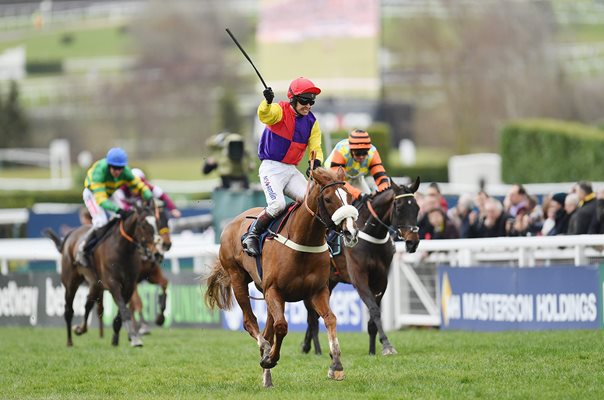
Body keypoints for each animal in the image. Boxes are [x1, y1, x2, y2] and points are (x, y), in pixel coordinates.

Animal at [45, 203, 160, 346]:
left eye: (157, 223)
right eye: (143, 224)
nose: (156, 253)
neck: (122, 250)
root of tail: (70, 235)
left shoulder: (129, 286)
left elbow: (120, 313)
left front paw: (116, 338)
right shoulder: (113, 283)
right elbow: (124, 310)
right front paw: (134, 338)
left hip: (95, 284)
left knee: (88, 304)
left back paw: (80, 329)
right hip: (71, 282)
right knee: (68, 310)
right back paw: (69, 341)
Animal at [205, 168, 360, 388]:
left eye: (349, 197)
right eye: (328, 199)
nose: (351, 232)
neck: (303, 241)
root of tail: (232, 223)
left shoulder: (317, 291)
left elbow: (330, 318)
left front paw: (336, 365)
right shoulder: (274, 290)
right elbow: (282, 326)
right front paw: (270, 357)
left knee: (267, 330)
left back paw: (267, 377)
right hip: (237, 279)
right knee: (251, 323)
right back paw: (264, 350)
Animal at [302, 177, 420, 356]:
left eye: (417, 208)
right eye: (399, 208)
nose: (413, 242)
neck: (372, 235)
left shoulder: (381, 279)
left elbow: (374, 314)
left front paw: (372, 350)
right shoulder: (359, 278)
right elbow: (374, 309)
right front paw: (387, 345)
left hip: (330, 282)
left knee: (315, 315)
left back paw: (307, 345)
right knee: (312, 317)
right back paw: (317, 350)